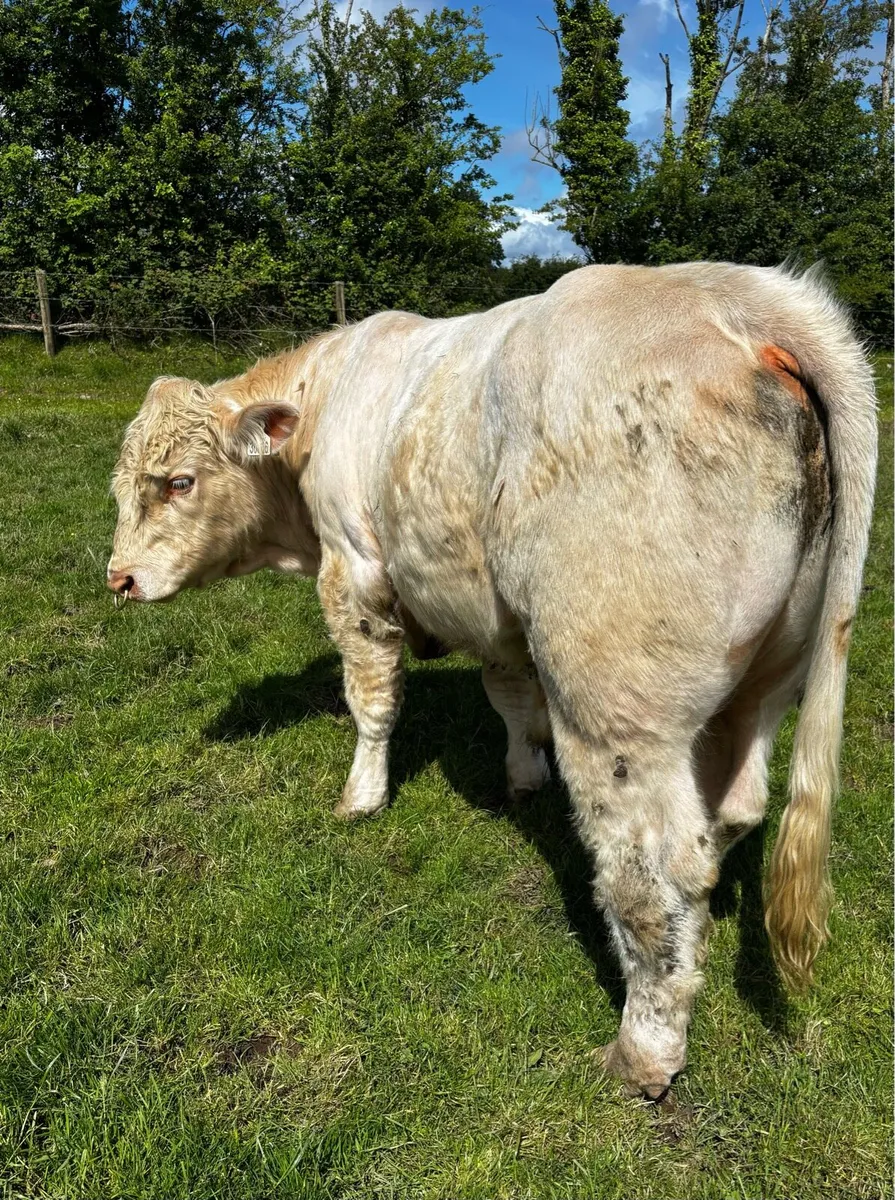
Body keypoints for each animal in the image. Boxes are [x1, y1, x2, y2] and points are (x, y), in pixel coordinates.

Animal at [107, 263, 877, 1099]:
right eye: (120, 489)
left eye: (178, 482)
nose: (118, 579)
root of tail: (722, 293)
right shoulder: (491, 614)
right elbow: (509, 698)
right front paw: (521, 774)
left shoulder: (354, 575)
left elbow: (372, 700)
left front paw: (361, 796)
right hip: (768, 675)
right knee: (730, 812)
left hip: (615, 704)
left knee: (653, 868)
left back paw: (642, 1050)